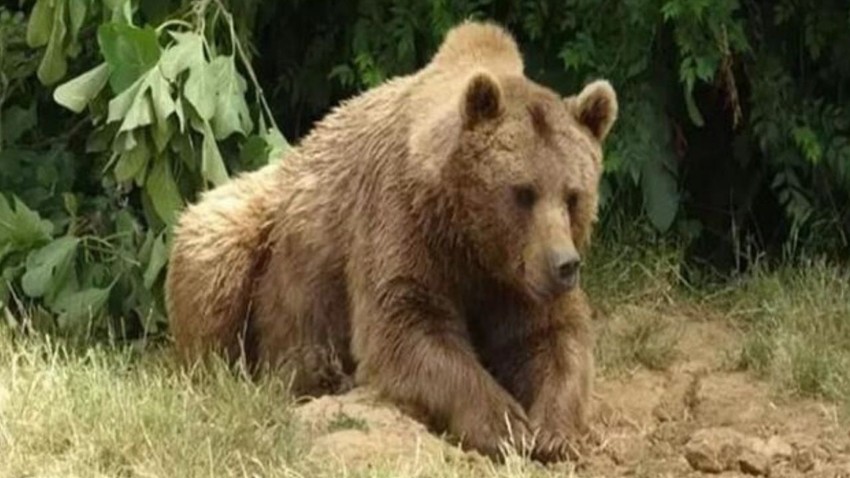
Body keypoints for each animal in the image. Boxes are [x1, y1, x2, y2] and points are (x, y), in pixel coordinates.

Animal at [166, 20, 616, 462]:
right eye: (522, 192)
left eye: (573, 195)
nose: (564, 265)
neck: (471, 241)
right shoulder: (401, 222)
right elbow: (405, 329)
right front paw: (505, 425)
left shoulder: (515, 281)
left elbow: (554, 336)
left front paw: (553, 432)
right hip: (256, 220)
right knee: (213, 253)